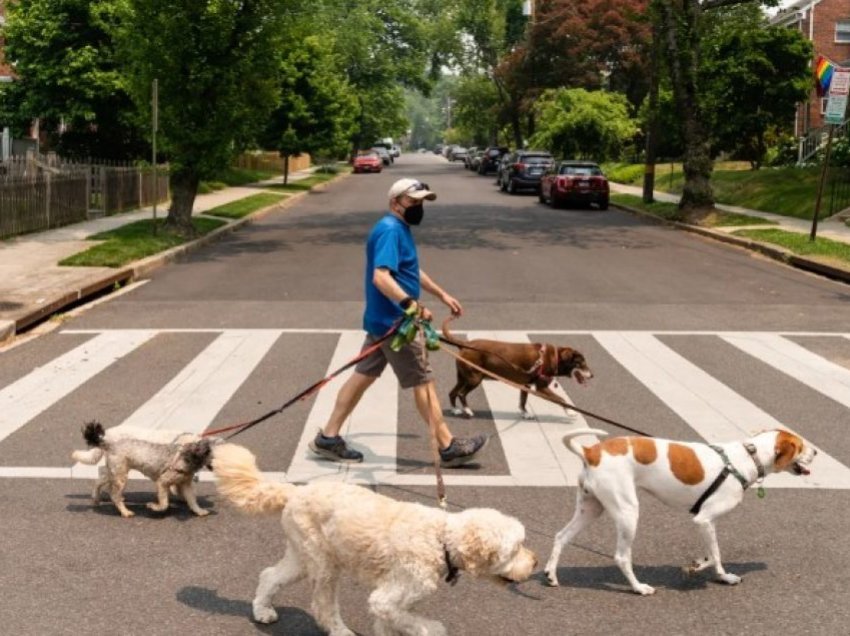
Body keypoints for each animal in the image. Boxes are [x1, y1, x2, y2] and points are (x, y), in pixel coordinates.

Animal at [71, 420, 215, 520]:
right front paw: (154, 506)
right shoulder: (162, 481)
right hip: (120, 476)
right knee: (114, 494)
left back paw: (96, 499)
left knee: (100, 480)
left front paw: (199, 511)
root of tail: (109, 441)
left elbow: (192, 500)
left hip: (115, 471)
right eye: (212, 455)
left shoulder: (185, 484)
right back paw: (125, 511)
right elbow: (164, 502)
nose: (214, 467)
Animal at [210, 442, 536, 636]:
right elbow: (428, 628)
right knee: (322, 605)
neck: (441, 539)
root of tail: (296, 491)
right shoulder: (388, 598)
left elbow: (392, 623)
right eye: (516, 548)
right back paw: (339, 631)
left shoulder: (396, 603)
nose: (534, 562)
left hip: (301, 556)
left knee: (270, 575)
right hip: (323, 563)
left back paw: (262, 610)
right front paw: (433, 628)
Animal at [444, 320, 588, 420]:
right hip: (474, 378)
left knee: (452, 393)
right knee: (461, 394)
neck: (555, 357)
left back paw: (455, 409)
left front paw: (525, 413)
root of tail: (466, 344)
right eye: (581, 363)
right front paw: (571, 411)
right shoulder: (541, 388)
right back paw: (467, 410)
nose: (591, 375)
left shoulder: (526, 385)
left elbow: (522, 401)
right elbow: (561, 399)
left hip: (463, 377)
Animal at [544, 428, 816, 596]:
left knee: (561, 536)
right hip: (627, 511)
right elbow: (716, 555)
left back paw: (551, 575)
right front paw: (716, 573)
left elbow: (711, 552)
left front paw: (703, 566)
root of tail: (592, 451)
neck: (748, 457)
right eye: (801, 446)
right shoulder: (704, 519)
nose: (816, 452)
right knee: (621, 557)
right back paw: (639, 587)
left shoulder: (705, 523)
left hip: (590, 508)